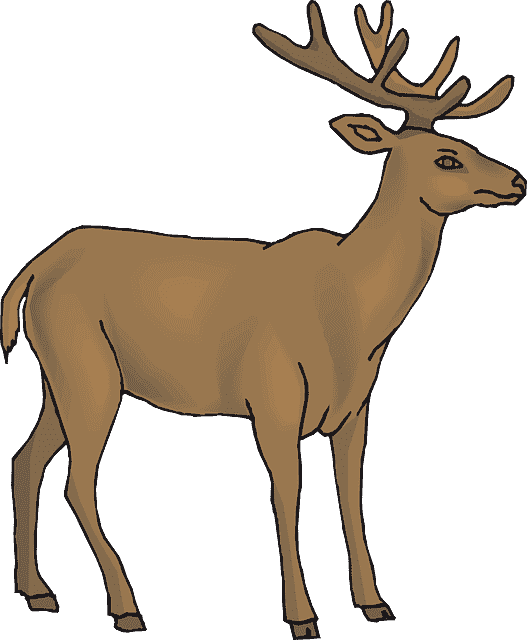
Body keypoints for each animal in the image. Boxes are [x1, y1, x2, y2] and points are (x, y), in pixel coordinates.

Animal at [1, 1, 524, 638]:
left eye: (466, 142)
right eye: (446, 157)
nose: (518, 181)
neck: (351, 319)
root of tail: (33, 269)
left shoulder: (356, 407)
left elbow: (351, 495)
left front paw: (375, 602)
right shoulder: (273, 395)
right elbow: (286, 499)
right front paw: (302, 617)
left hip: (59, 373)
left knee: (26, 458)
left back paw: (37, 591)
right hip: (86, 367)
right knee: (78, 482)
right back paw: (126, 605)